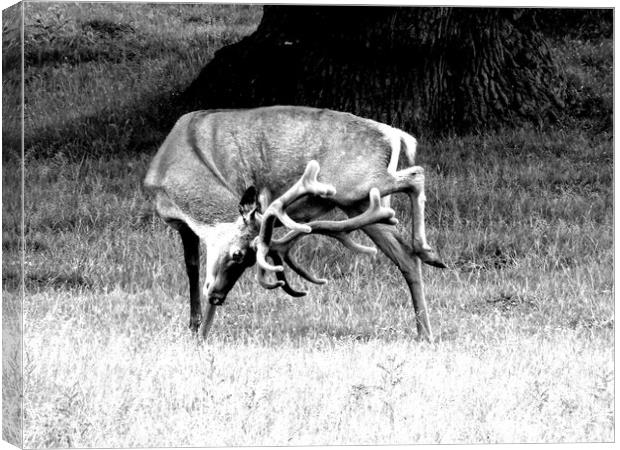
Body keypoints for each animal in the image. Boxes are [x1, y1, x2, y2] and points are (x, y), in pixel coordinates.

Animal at [144, 105, 446, 342]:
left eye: (242, 257)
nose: (218, 296)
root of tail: (395, 133)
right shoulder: (183, 227)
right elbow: (192, 269)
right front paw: (194, 328)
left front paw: (203, 336)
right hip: (363, 203)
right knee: (405, 256)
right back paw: (425, 329)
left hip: (355, 183)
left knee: (417, 174)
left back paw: (427, 250)